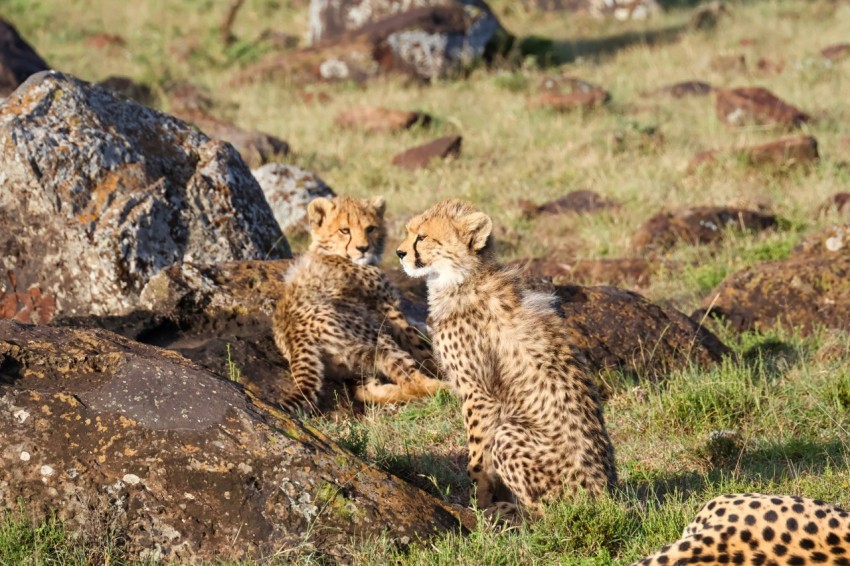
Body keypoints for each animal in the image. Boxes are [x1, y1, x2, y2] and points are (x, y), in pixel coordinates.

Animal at [273, 195, 446, 413]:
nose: (363, 249)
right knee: (410, 380)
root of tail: (293, 335)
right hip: (374, 337)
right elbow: (417, 342)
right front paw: (436, 363)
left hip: (351, 362)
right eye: (344, 230)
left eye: (370, 228)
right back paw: (446, 388)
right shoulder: (387, 307)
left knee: (365, 391)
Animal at [395, 198, 617, 519]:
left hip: (511, 434)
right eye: (409, 232)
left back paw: (510, 512)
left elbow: (477, 456)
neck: (462, 278)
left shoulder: (478, 394)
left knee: (551, 516)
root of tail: (607, 497)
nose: (399, 253)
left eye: (422, 237)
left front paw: (479, 503)